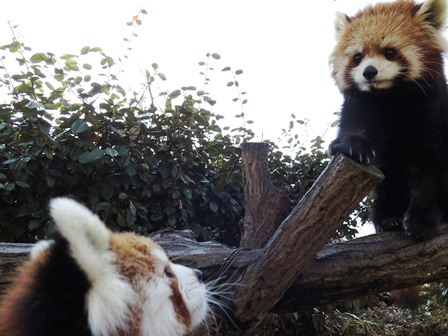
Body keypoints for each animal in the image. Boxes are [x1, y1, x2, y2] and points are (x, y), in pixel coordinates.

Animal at [328, 0, 448, 242]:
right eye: (357, 57)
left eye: (390, 52)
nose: (369, 72)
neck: (390, 97)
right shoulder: (362, 104)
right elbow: (354, 125)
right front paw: (352, 144)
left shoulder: (434, 117)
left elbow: (431, 171)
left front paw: (421, 222)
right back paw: (388, 219)